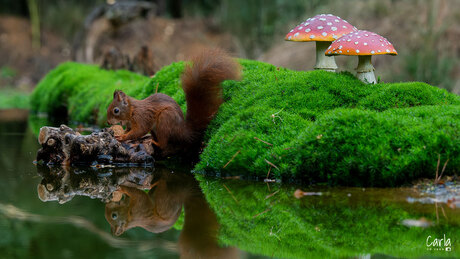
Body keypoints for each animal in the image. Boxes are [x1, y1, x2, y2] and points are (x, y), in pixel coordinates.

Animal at [106, 49, 239, 156]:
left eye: (116, 110)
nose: (108, 122)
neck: (132, 110)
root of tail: (183, 131)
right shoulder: (130, 123)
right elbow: (129, 130)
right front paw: (120, 133)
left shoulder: (142, 117)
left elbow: (139, 130)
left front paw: (123, 137)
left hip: (165, 119)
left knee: (164, 143)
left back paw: (154, 142)